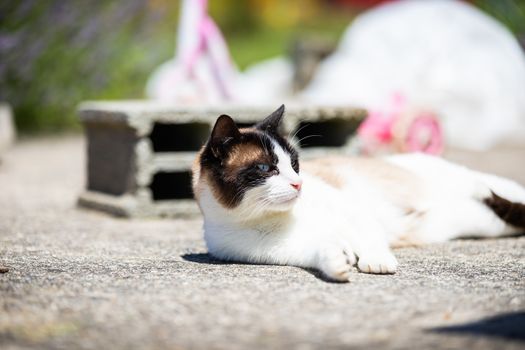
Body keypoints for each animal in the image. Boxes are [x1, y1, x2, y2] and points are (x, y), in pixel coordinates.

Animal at [191, 104, 524, 282]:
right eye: (265, 168)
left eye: (294, 165)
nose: (298, 184)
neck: (273, 219)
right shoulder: (290, 250)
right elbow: (324, 252)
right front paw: (340, 264)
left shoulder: (353, 211)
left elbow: (367, 238)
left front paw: (376, 260)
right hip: (476, 223)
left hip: (465, 182)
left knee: (497, 188)